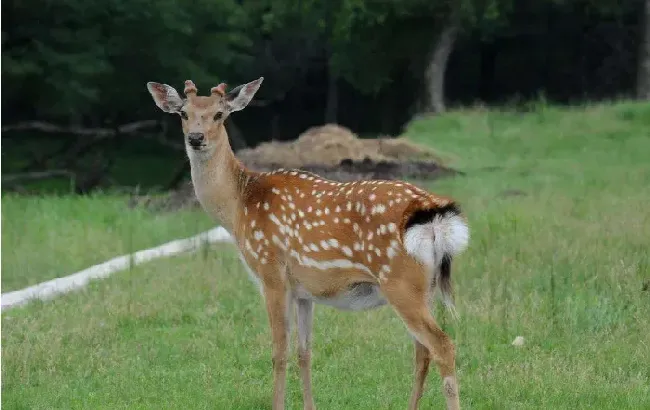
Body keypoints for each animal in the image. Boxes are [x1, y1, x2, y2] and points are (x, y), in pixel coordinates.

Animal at [146, 77, 468, 410]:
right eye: (183, 113)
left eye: (219, 114)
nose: (196, 137)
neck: (237, 208)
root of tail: (435, 214)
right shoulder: (304, 290)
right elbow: (304, 352)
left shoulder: (271, 272)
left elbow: (279, 352)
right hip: (424, 285)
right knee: (422, 351)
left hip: (400, 280)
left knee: (442, 345)